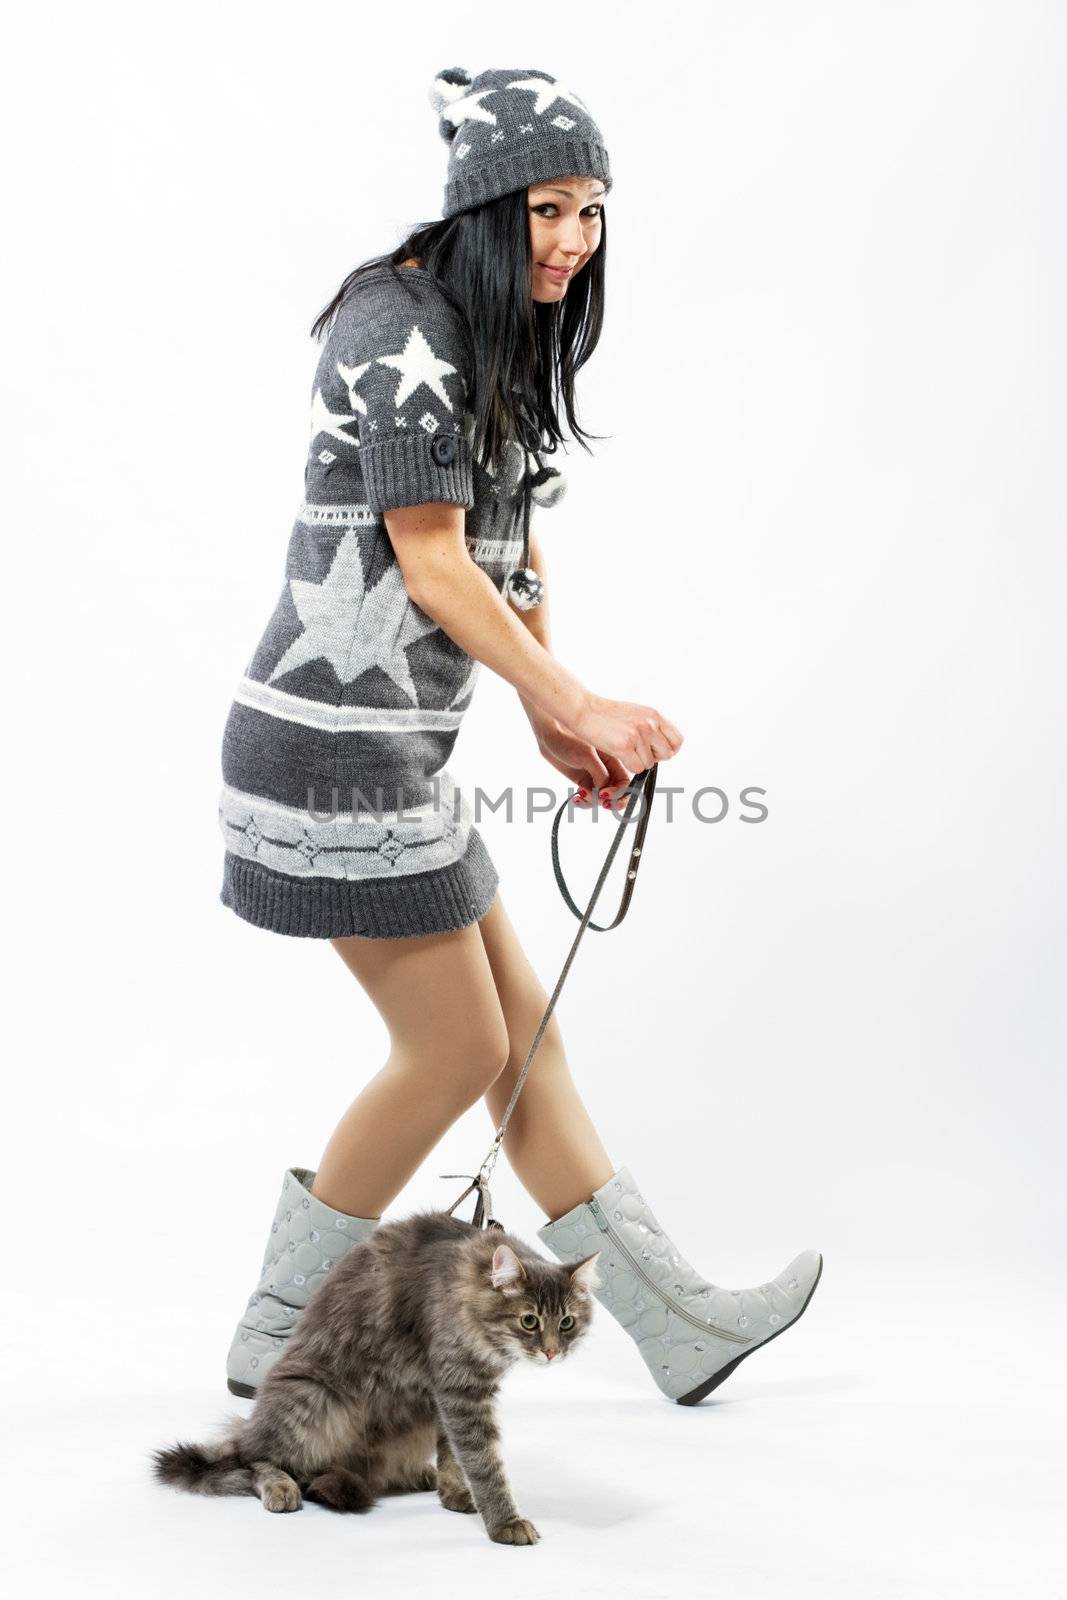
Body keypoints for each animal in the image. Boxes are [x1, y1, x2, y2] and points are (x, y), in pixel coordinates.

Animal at [151, 1203, 601, 1542]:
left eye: (566, 1323)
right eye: (529, 1320)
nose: (551, 1352)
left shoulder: (446, 1395)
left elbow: (454, 1456)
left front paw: (456, 1492)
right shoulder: (459, 1390)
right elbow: (483, 1461)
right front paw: (505, 1521)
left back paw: (416, 1476)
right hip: (310, 1398)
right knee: (254, 1460)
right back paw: (282, 1486)